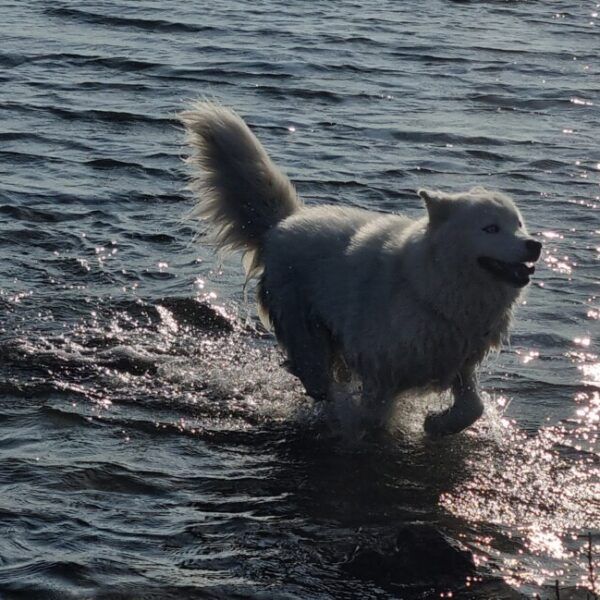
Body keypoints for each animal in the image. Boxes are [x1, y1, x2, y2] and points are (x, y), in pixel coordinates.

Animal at [180, 103, 540, 436]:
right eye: (491, 229)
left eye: (519, 224)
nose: (534, 244)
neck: (431, 284)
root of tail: (284, 222)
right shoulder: (381, 369)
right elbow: (373, 419)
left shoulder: (457, 360)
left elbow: (472, 408)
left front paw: (437, 424)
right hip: (305, 330)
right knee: (317, 379)